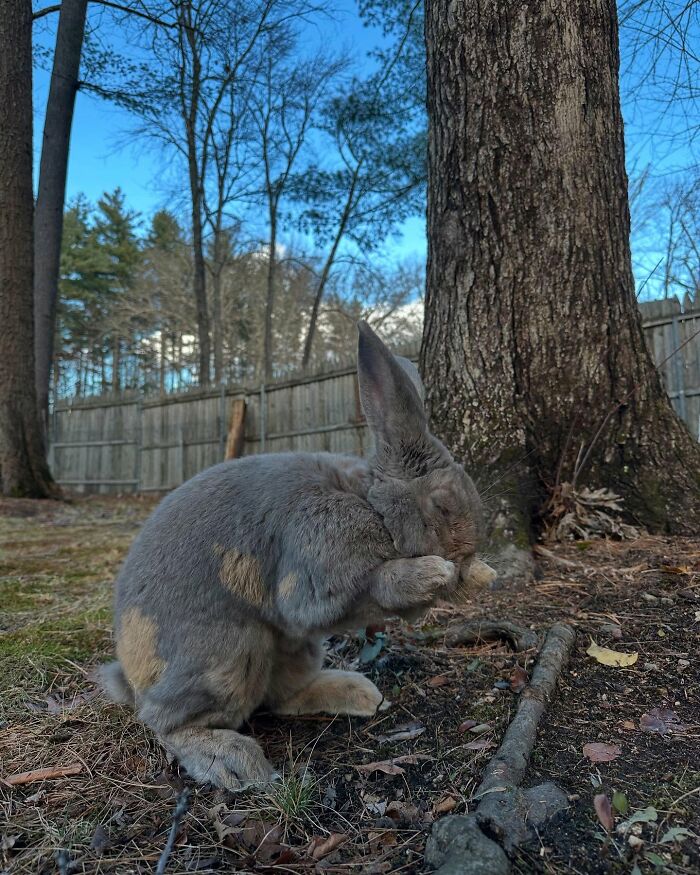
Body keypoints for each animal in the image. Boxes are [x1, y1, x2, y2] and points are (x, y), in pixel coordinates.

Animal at [97, 321, 495, 791]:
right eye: (441, 506)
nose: (466, 556)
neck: (371, 505)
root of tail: (131, 675)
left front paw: (476, 575)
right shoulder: (318, 566)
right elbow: (364, 588)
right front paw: (433, 574)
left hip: (297, 651)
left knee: (280, 697)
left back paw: (359, 693)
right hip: (226, 654)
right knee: (166, 721)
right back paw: (233, 762)